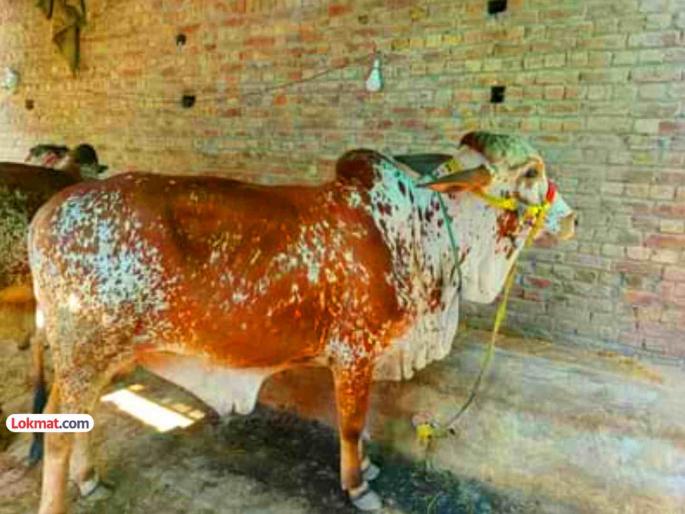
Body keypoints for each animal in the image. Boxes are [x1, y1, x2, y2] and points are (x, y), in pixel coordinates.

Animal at [28, 132, 574, 513]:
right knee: (56, 430)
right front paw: (357, 486)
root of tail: (46, 213)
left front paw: (367, 469)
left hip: (103, 359)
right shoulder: (354, 353)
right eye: (530, 171)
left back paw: (89, 478)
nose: (571, 219)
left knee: (82, 418)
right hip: (84, 354)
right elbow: (352, 425)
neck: (417, 231)